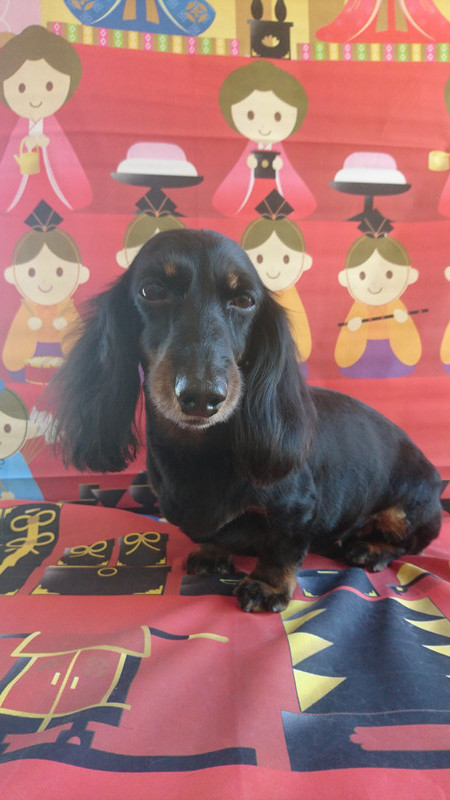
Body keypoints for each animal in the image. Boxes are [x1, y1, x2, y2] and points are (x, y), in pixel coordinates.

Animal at [51, 229, 443, 612]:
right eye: (152, 290)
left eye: (244, 300)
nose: (202, 396)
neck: (199, 452)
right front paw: (212, 553)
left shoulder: (296, 509)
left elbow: (282, 549)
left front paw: (267, 585)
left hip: (407, 509)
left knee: (407, 544)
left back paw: (370, 548)